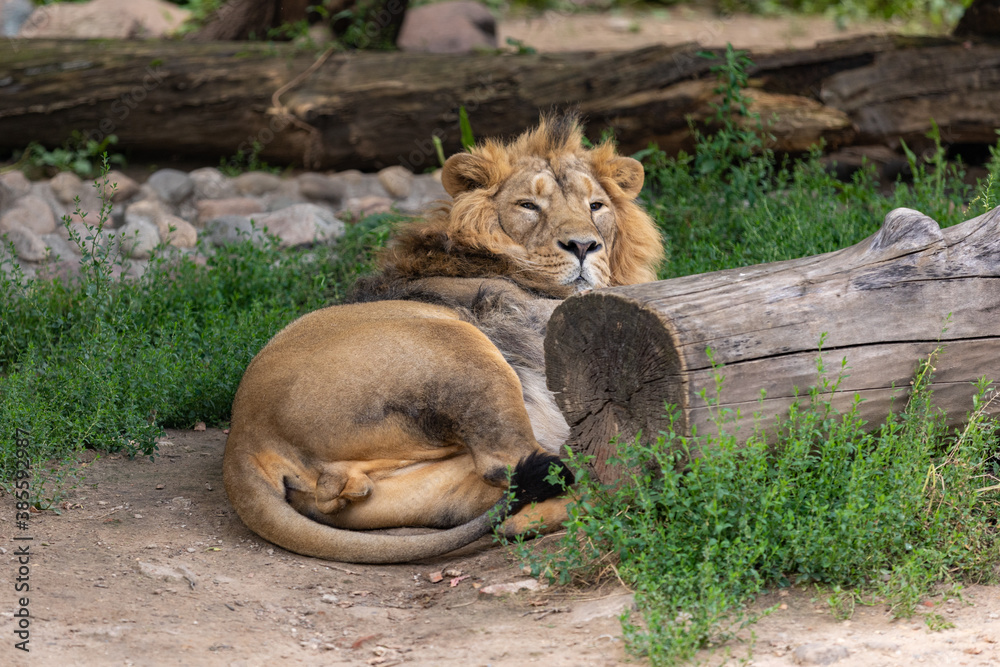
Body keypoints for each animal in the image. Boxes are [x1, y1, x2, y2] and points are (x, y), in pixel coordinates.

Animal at [223, 113, 664, 563]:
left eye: (596, 206)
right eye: (528, 205)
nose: (583, 246)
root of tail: (243, 436)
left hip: (414, 486)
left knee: (506, 501)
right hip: (459, 347)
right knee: (511, 463)